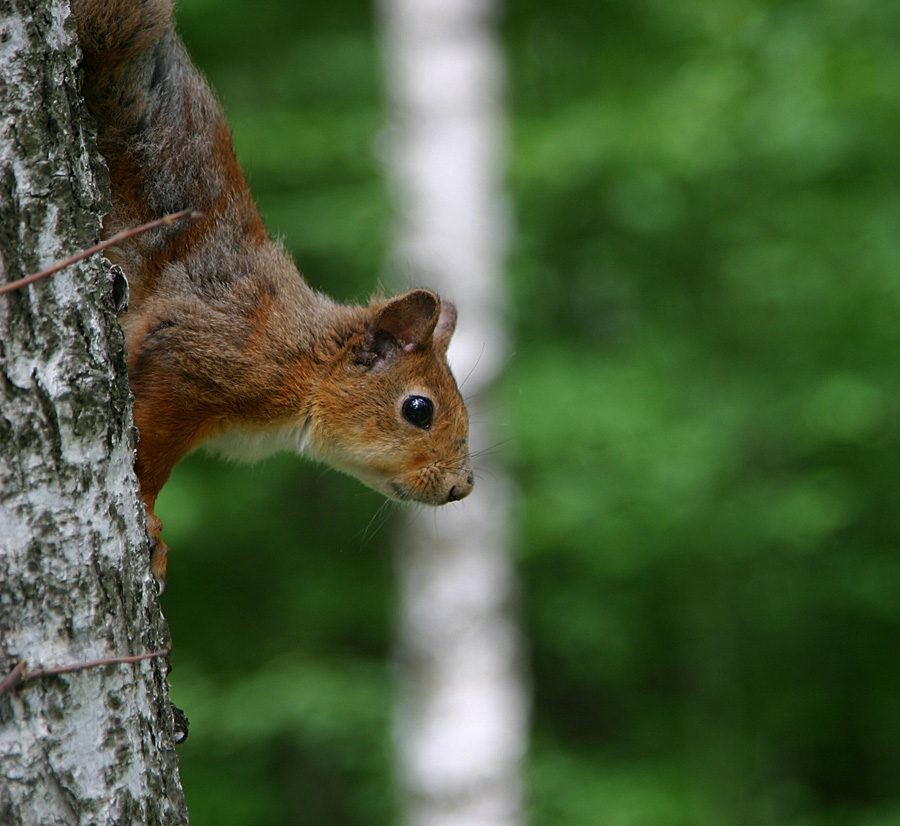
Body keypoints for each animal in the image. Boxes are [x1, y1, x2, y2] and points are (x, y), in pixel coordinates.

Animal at [72, 0, 472, 584]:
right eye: (419, 409)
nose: (462, 487)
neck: (307, 359)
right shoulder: (197, 358)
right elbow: (149, 457)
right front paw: (148, 521)